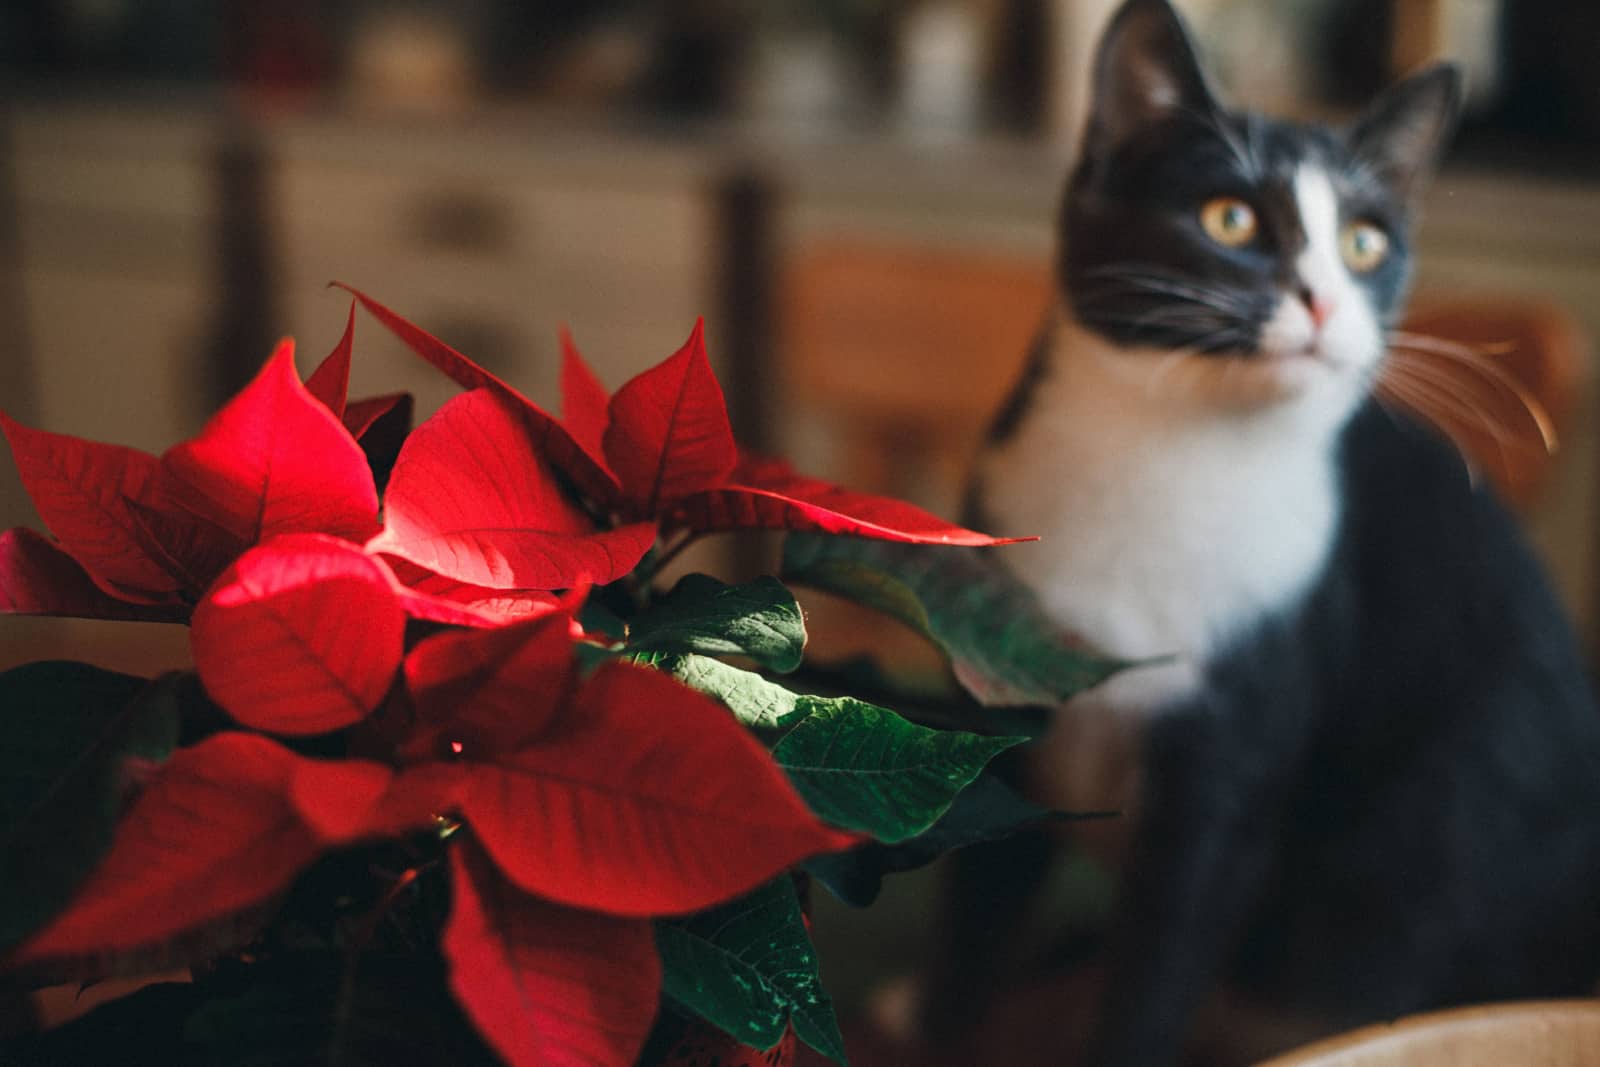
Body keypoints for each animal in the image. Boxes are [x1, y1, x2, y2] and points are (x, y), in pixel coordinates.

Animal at [934, 2, 1600, 1067]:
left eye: (1366, 243)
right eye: (1231, 220)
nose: (1323, 302)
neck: (1171, 463)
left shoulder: (1232, 765)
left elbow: (1157, 973)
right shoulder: (995, 687)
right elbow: (973, 920)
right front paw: (937, 1022)